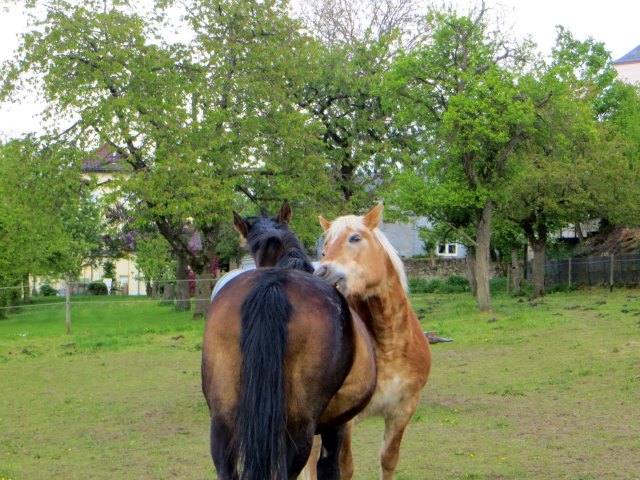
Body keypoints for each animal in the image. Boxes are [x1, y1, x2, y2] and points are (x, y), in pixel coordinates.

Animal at [314, 203, 432, 480]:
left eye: (355, 238)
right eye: (325, 247)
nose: (321, 272)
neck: (388, 347)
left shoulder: (402, 410)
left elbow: (388, 459)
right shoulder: (343, 420)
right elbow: (345, 468)